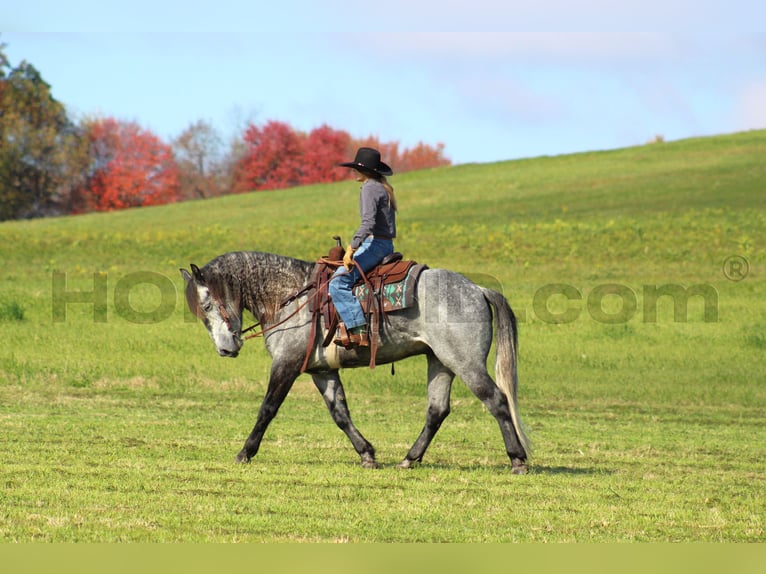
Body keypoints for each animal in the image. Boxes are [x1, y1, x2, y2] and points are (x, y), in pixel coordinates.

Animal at [181, 251, 532, 472]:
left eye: (208, 304)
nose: (226, 349)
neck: (290, 295)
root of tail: (478, 289)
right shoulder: (322, 371)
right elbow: (340, 414)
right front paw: (367, 454)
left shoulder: (286, 364)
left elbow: (267, 409)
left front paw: (245, 452)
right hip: (441, 362)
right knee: (437, 411)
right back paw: (409, 459)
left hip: (465, 363)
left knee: (497, 400)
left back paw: (517, 460)